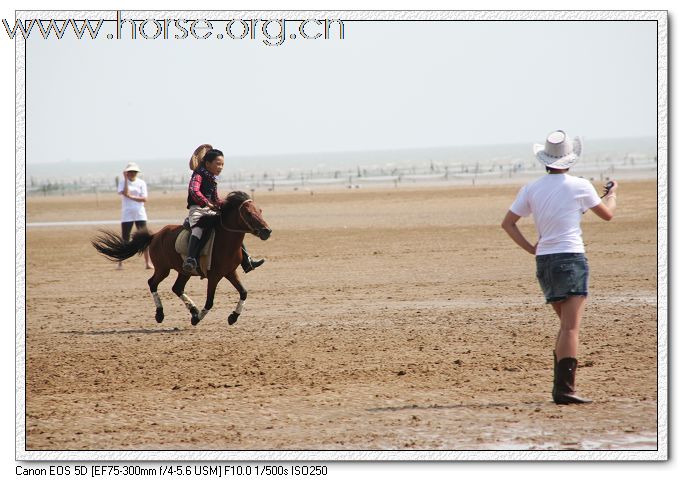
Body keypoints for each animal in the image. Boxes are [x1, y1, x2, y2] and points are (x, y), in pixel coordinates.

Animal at [91, 191, 272, 326]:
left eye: (260, 211)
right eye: (248, 213)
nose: (267, 231)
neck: (225, 241)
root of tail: (155, 235)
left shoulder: (230, 272)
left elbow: (244, 292)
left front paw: (233, 317)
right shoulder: (213, 276)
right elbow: (210, 302)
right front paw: (198, 318)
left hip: (184, 271)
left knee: (177, 288)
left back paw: (192, 310)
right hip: (163, 269)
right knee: (152, 283)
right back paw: (161, 314)